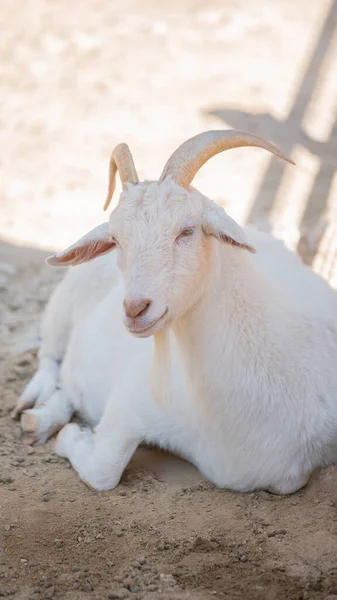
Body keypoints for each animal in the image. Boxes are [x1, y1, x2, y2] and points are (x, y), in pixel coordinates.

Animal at [14, 130, 336, 492]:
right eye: (116, 239)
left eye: (187, 230)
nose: (135, 309)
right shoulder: (132, 400)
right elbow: (104, 470)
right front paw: (69, 434)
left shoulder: (287, 473)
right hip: (65, 301)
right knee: (50, 354)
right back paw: (36, 406)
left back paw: (43, 417)